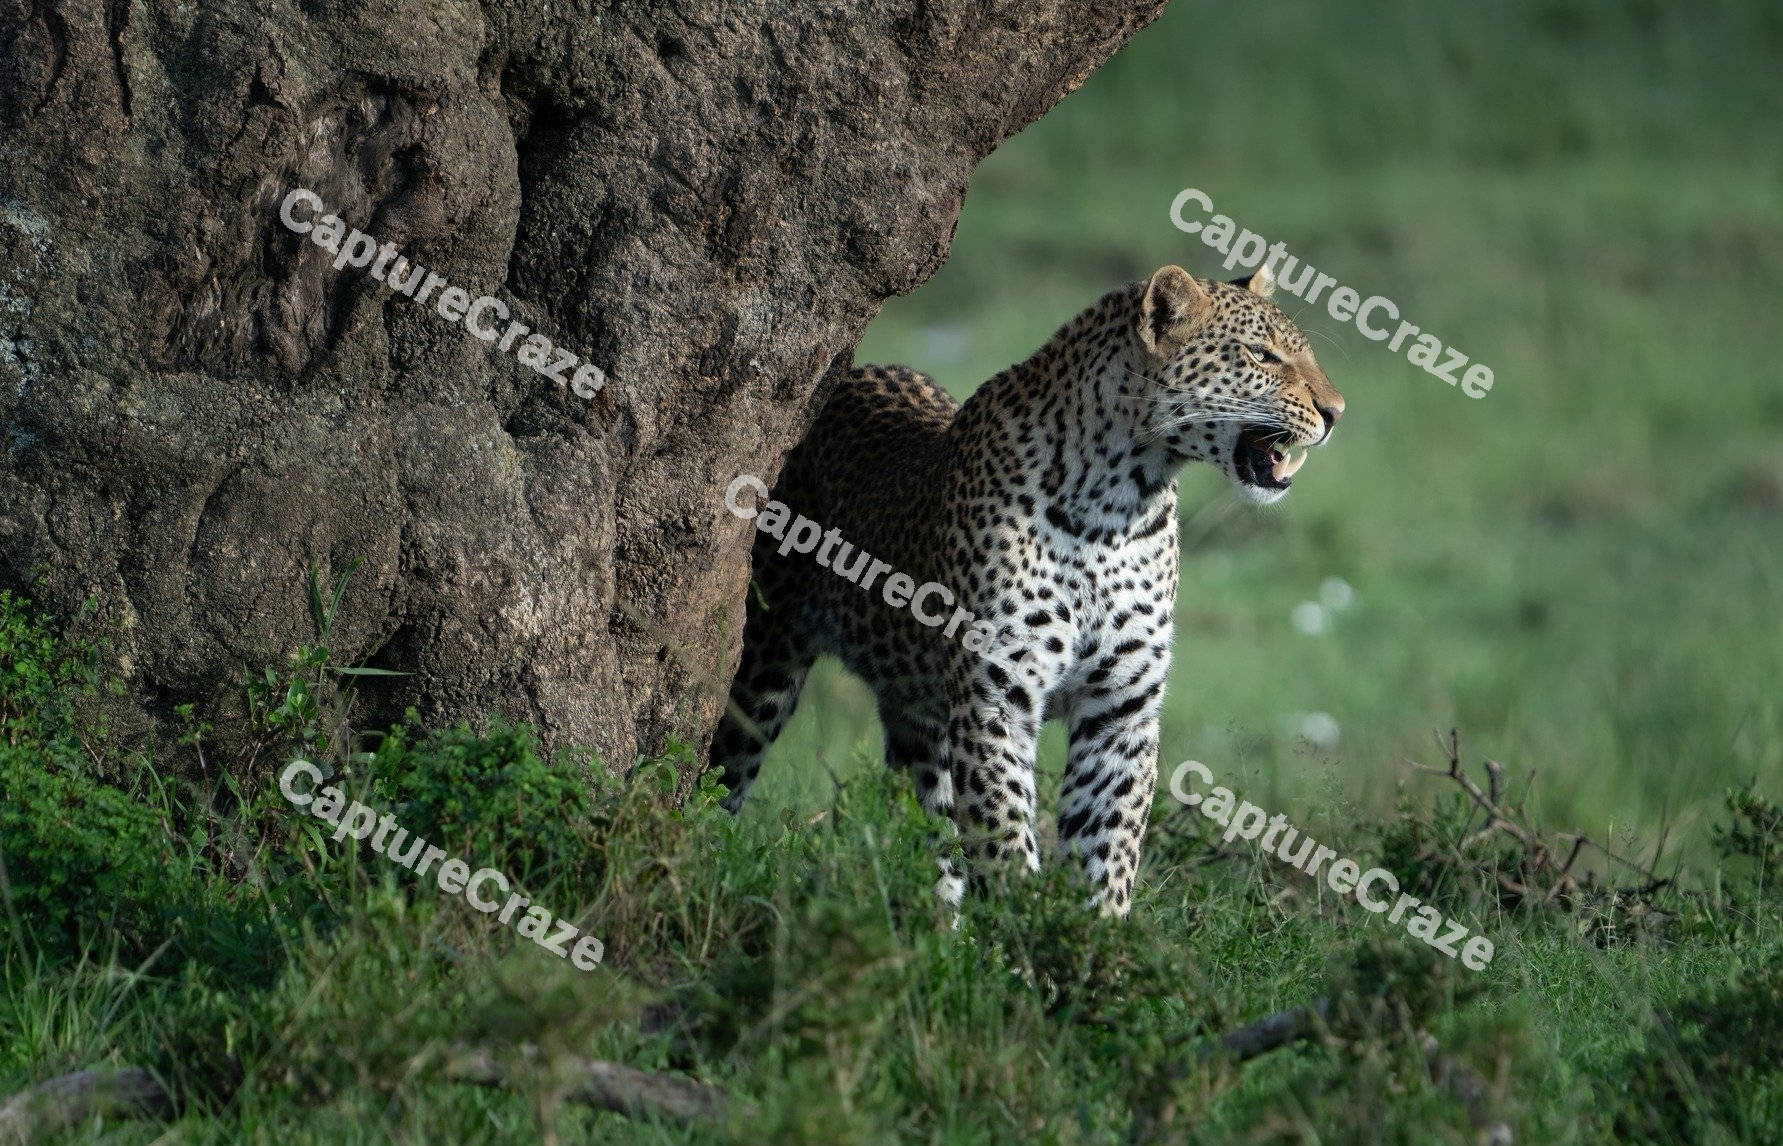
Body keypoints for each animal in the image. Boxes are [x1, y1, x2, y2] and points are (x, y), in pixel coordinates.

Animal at [708, 262, 1344, 916]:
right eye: (1262, 355)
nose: (1336, 412)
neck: (1118, 505)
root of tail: (848, 375)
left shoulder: (1122, 709)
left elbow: (1107, 845)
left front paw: (1094, 937)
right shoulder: (997, 698)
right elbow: (1005, 834)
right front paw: (1023, 928)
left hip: (920, 715)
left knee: (930, 828)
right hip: (762, 670)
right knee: (721, 777)